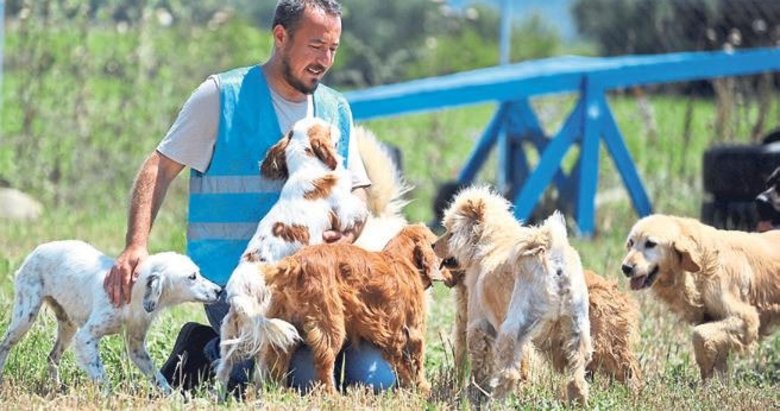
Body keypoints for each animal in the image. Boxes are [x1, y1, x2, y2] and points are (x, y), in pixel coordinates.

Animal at [0, 241, 222, 396]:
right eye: (192, 277)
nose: (220, 291)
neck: (134, 294)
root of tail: (37, 249)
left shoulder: (136, 346)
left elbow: (157, 376)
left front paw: (173, 397)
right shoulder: (86, 337)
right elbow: (100, 374)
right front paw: (108, 397)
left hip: (67, 325)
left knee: (52, 357)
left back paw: (57, 387)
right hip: (25, 317)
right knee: (5, 345)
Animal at [253, 225, 450, 392]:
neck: (402, 259)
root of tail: (295, 263)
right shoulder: (413, 331)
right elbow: (416, 363)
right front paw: (423, 389)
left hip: (284, 327)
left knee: (276, 360)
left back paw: (276, 390)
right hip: (330, 324)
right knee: (323, 363)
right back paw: (331, 394)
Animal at [620, 214, 780, 382]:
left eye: (650, 244)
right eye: (631, 243)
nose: (626, 268)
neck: (704, 262)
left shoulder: (747, 319)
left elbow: (698, 334)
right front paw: (714, 382)